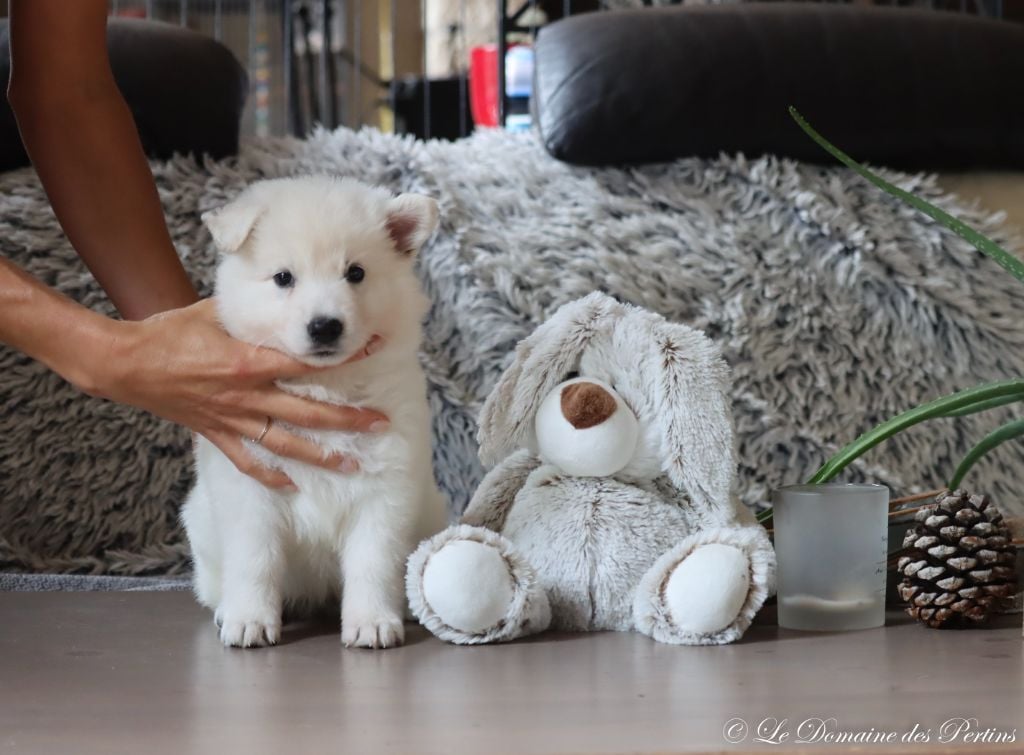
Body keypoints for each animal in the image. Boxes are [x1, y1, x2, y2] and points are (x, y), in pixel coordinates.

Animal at [181, 176, 452, 647]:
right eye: (283, 278)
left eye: (356, 273)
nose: (325, 326)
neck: (325, 386)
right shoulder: (251, 484)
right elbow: (255, 558)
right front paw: (249, 620)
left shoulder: (385, 487)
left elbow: (373, 561)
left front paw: (372, 622)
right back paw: (226, 609)